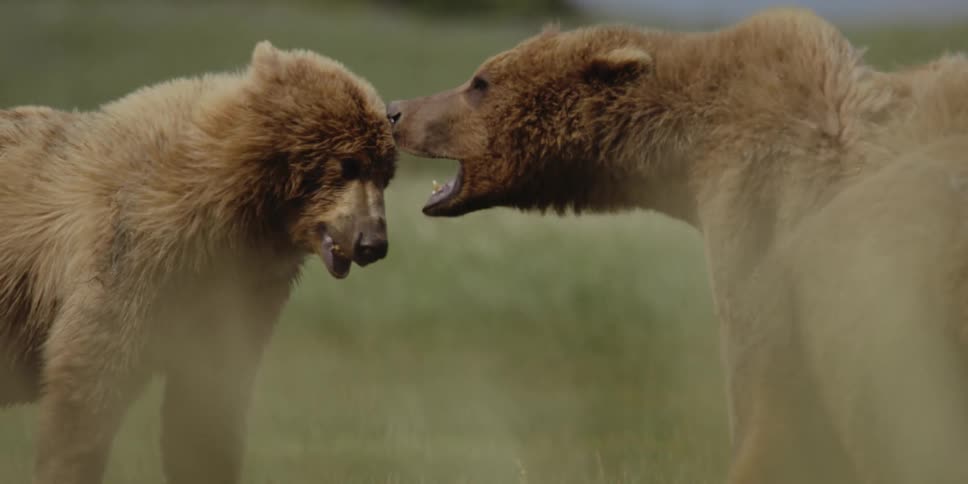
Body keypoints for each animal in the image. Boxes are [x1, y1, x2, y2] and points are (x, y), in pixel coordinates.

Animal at [0, 41, 396, 484]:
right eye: (347, 164)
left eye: (386, 174)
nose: (372, 242)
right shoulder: (134, 254)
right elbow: (87, 383)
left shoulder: (236, 290)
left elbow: (205, 404)